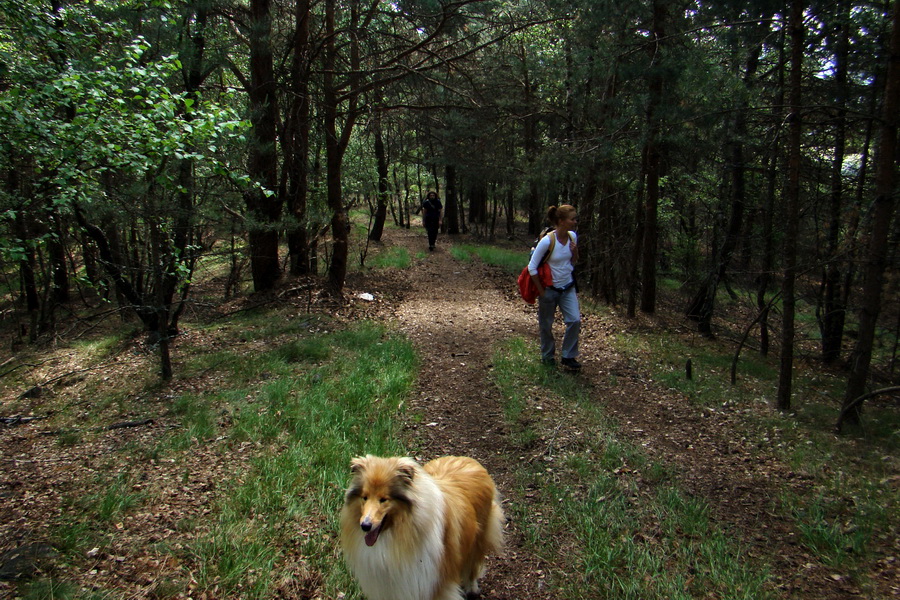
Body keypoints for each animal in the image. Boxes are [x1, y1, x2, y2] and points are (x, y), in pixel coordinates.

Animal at [340, 454, 502, 600]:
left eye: (384, 499)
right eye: (365, 497)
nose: (365, 526)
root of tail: (468, 459)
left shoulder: (435, 583)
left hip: (478, 539)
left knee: (473, 565)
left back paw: (472, 588)